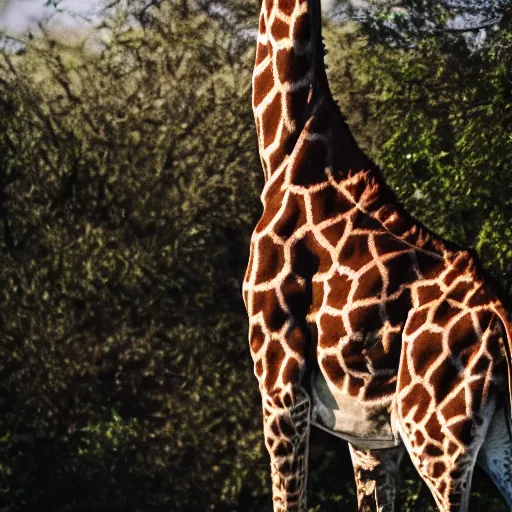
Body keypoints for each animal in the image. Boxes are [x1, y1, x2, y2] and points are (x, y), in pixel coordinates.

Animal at [242, 1, 512, 512]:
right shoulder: (368, 434)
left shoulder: (279, 378)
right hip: (495, 436)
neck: (286, 144)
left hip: (437, 432)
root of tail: (503, 324)